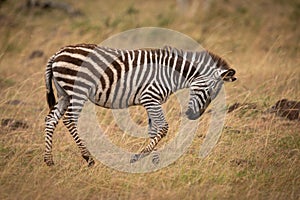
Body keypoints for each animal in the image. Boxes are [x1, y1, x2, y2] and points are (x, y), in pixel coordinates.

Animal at [44, 43, 237, 166]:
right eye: (209, 91)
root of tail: (57, 53)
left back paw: (49, 161)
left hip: (64, 94)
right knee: (69, 120)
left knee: (50, 119)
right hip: (77, 91)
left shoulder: (151, 101)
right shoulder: (150, 98)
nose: (193, 116)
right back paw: (88, 158)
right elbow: (163, 128)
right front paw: (138, 158)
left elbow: (154, 130)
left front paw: (154, 162)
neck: (170, 74)